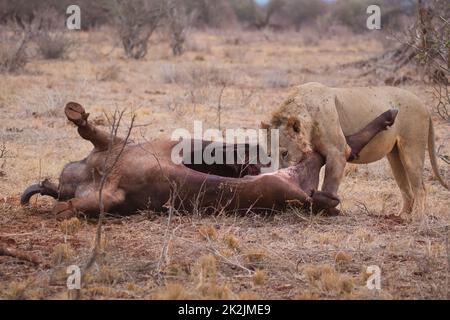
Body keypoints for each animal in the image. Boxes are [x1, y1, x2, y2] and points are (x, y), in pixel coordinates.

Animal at [21, 102, 398, 218]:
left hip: (293, 184)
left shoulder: (115, 149)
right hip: (298, 184)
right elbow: (68, 208)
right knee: (332, 166)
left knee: (337, 156)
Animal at [262, 82, 448, 218]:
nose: (276, 177)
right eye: (269, 155)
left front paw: (326, 210)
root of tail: (424, 105)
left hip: (411, 148)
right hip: (395, 156)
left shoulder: (338, 151)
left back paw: (416, 218)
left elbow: (329, 184)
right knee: (406, 189)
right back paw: (401, 215)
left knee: (420, 188)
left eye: (285, 152)